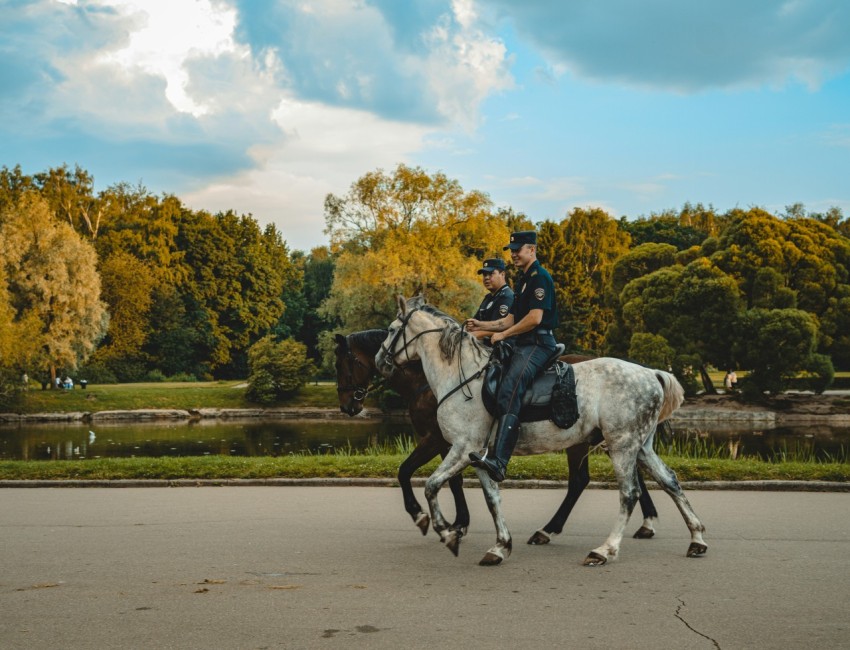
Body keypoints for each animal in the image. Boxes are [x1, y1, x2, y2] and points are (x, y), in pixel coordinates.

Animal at [335, 330, 662, 544]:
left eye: (342, 364)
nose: (347, 406)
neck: (430, 380)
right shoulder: (453, 443)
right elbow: (452, 481)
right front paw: (458, 522)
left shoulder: (437, 439)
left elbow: (406, 472)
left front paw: (424, 516)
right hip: (602, 438)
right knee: (632, 472)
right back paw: (646, 522)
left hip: (585, 441)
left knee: (583, 481)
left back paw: (550, 529)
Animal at [375, 295, 707, 567]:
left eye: (391, 330)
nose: (380, 360)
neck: (463, 377)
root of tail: (650, 372)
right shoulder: (478, 455)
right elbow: (492, 498)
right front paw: (500, 545)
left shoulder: (460, 447)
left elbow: (431, 486)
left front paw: (445, 531)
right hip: (640, 446)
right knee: (670, 482)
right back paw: (696, 539)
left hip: (621, 445)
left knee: (629, 493)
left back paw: (604, 549)